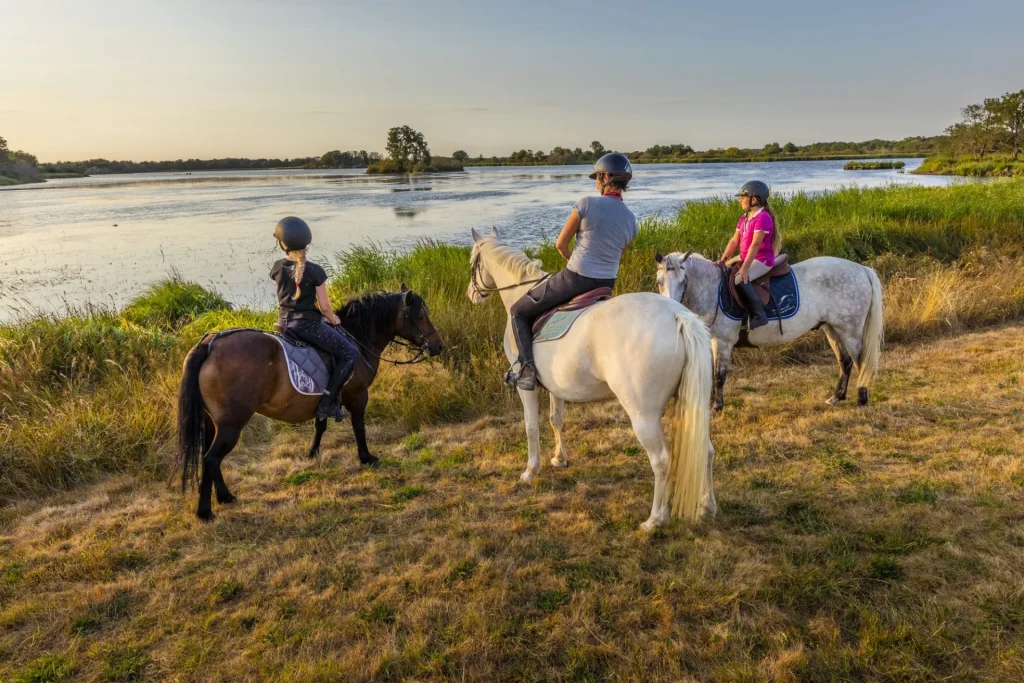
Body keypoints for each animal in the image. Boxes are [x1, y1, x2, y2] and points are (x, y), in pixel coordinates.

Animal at [175, 286, 444, 520]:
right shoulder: (358, 395)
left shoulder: (325, 400)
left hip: (213, 422)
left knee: (209, 457)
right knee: (211, 458)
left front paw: (313, 453)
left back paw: (225, 497)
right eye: (420, 315)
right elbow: (359, 426)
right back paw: (205, 511)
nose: (438, 346)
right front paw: (366, 457)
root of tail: (211, 343)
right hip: (231, 424)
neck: (356, 337)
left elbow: (321, 424)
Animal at [468, 227, 716, 532]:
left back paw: (655, 520)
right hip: (692, 404)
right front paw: (559, 459)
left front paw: (530, 470)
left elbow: (531, 427)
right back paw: (707, 506)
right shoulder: (555, 387)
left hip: (643, 416)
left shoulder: (526, 387)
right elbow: (556, 419)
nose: (472, 294)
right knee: (706, 450)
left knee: (661, 460)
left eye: (472, 262)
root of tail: (678, 315)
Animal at [659, 250, 884, 411]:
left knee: (860, 362)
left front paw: (716, 408)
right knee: (845, 362)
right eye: (659, 281)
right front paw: (711, 405)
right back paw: (837, 397)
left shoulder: (722, 342)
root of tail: (862, 269)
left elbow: (719, 376)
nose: (670, 307)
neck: (712, 290)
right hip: (832, 328)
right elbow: (711, 375)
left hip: (850, 330)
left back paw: (861, 400)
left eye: (683, 281)